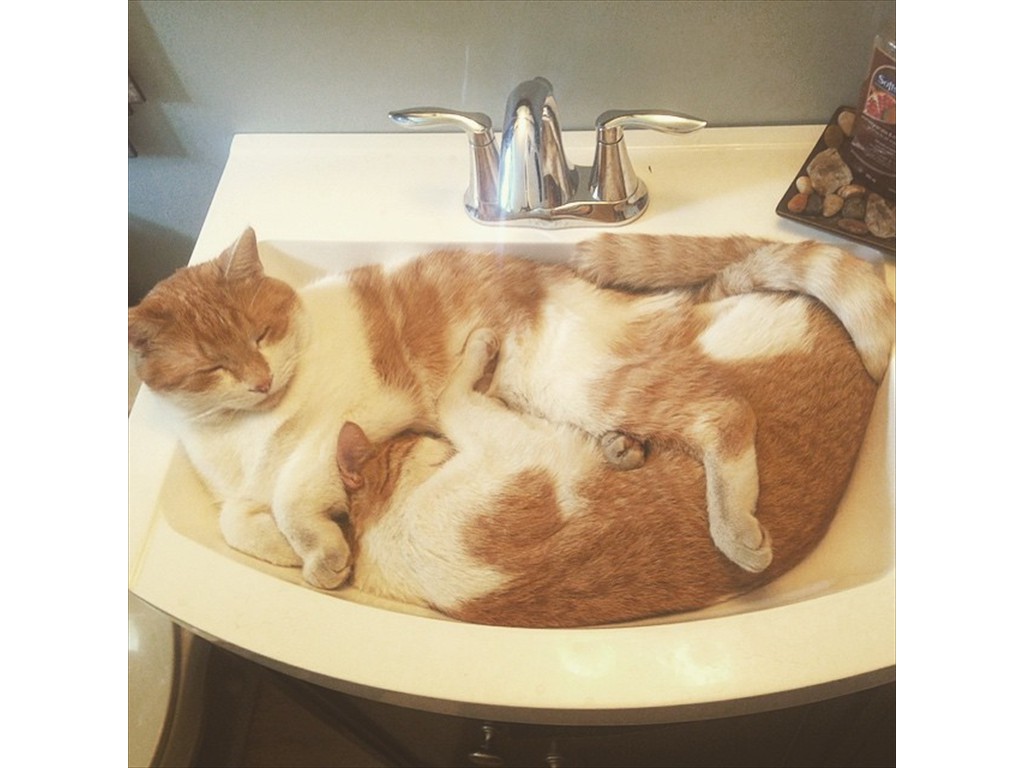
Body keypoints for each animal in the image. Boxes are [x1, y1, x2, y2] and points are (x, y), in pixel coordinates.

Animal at [128, 228, 892, 602]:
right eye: (212, 365)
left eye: (261, 335)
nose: (260, 382)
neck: (247, 431)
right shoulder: (242, 489)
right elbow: (238, 521)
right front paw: (299, 554)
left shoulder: (349, 427)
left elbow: (291, 497)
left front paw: (322, 556)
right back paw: (623, 449)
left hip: (580, 382)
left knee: (722, 411)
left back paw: (737, 533)